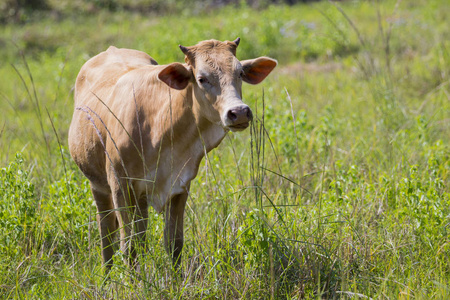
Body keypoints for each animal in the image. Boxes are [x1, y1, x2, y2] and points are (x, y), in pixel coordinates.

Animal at [68, 37, 276, 272]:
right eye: (202, 78)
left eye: (240, 73)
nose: (239, 112)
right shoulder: (120, 186)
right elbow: (128, 248)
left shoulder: (180, 186)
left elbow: (173, 243)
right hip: (98, 186)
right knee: (106, 233)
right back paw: (107, 273)